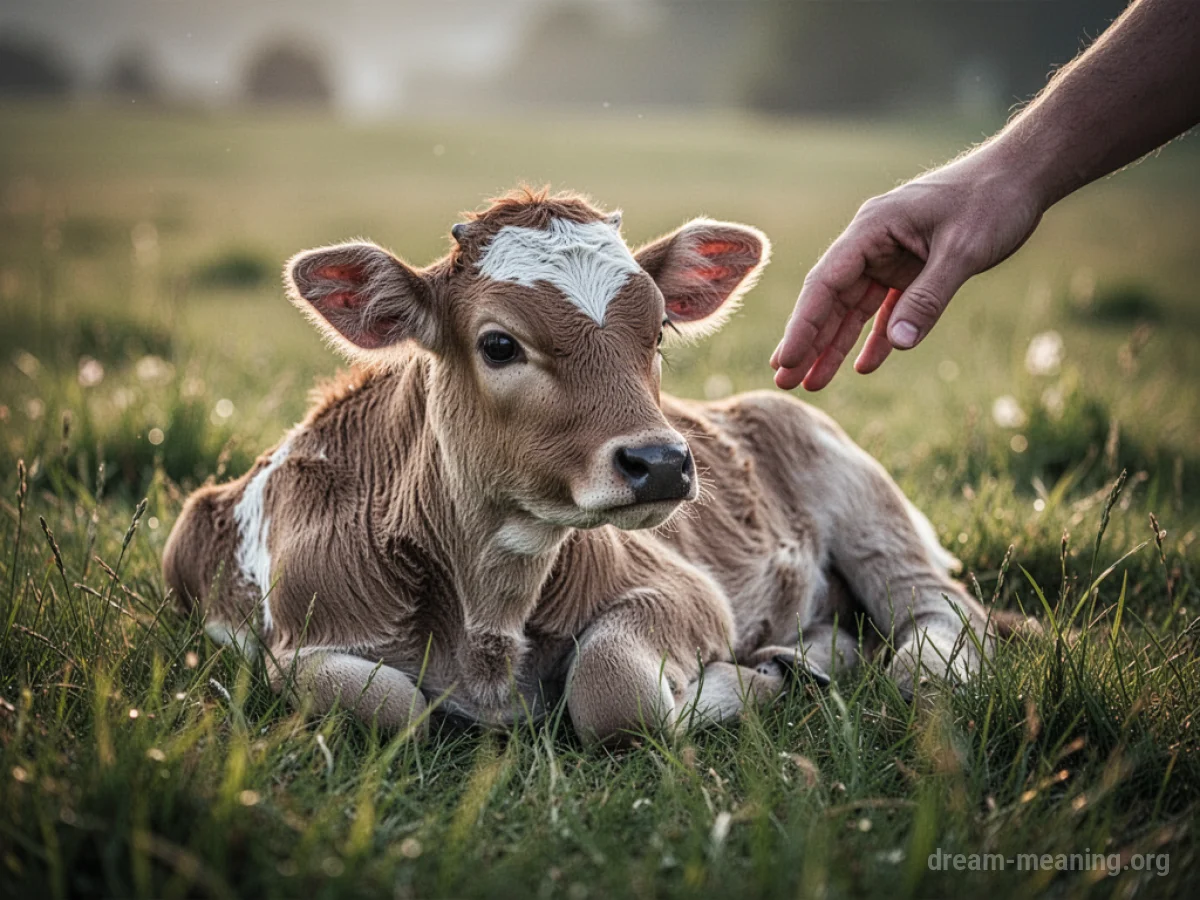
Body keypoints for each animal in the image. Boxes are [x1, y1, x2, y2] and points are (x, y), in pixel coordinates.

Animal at [164, 188, 997, 745]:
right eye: (499, 344)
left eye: (658, 331)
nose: (661, 462)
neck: (489, 620)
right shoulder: (293, 642)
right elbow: (388, 706)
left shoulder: (683, 590)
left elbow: (612, 689)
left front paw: (750, 680)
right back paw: (822, 650)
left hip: (866, 504)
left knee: (939, 610)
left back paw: (911, 670)